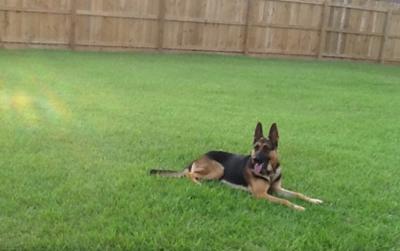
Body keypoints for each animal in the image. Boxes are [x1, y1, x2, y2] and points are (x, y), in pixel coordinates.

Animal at [149, 122, 322, 211]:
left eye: (266, 148)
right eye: (256, 147)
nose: (255, 160)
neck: (269, 172)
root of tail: (197, 158)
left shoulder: (277, 189)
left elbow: (299, 194)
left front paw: (314, 200)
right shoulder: (261, 195)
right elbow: (284, 201)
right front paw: (298, 207)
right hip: (219, 169)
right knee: (189, 174)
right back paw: (198, 183)